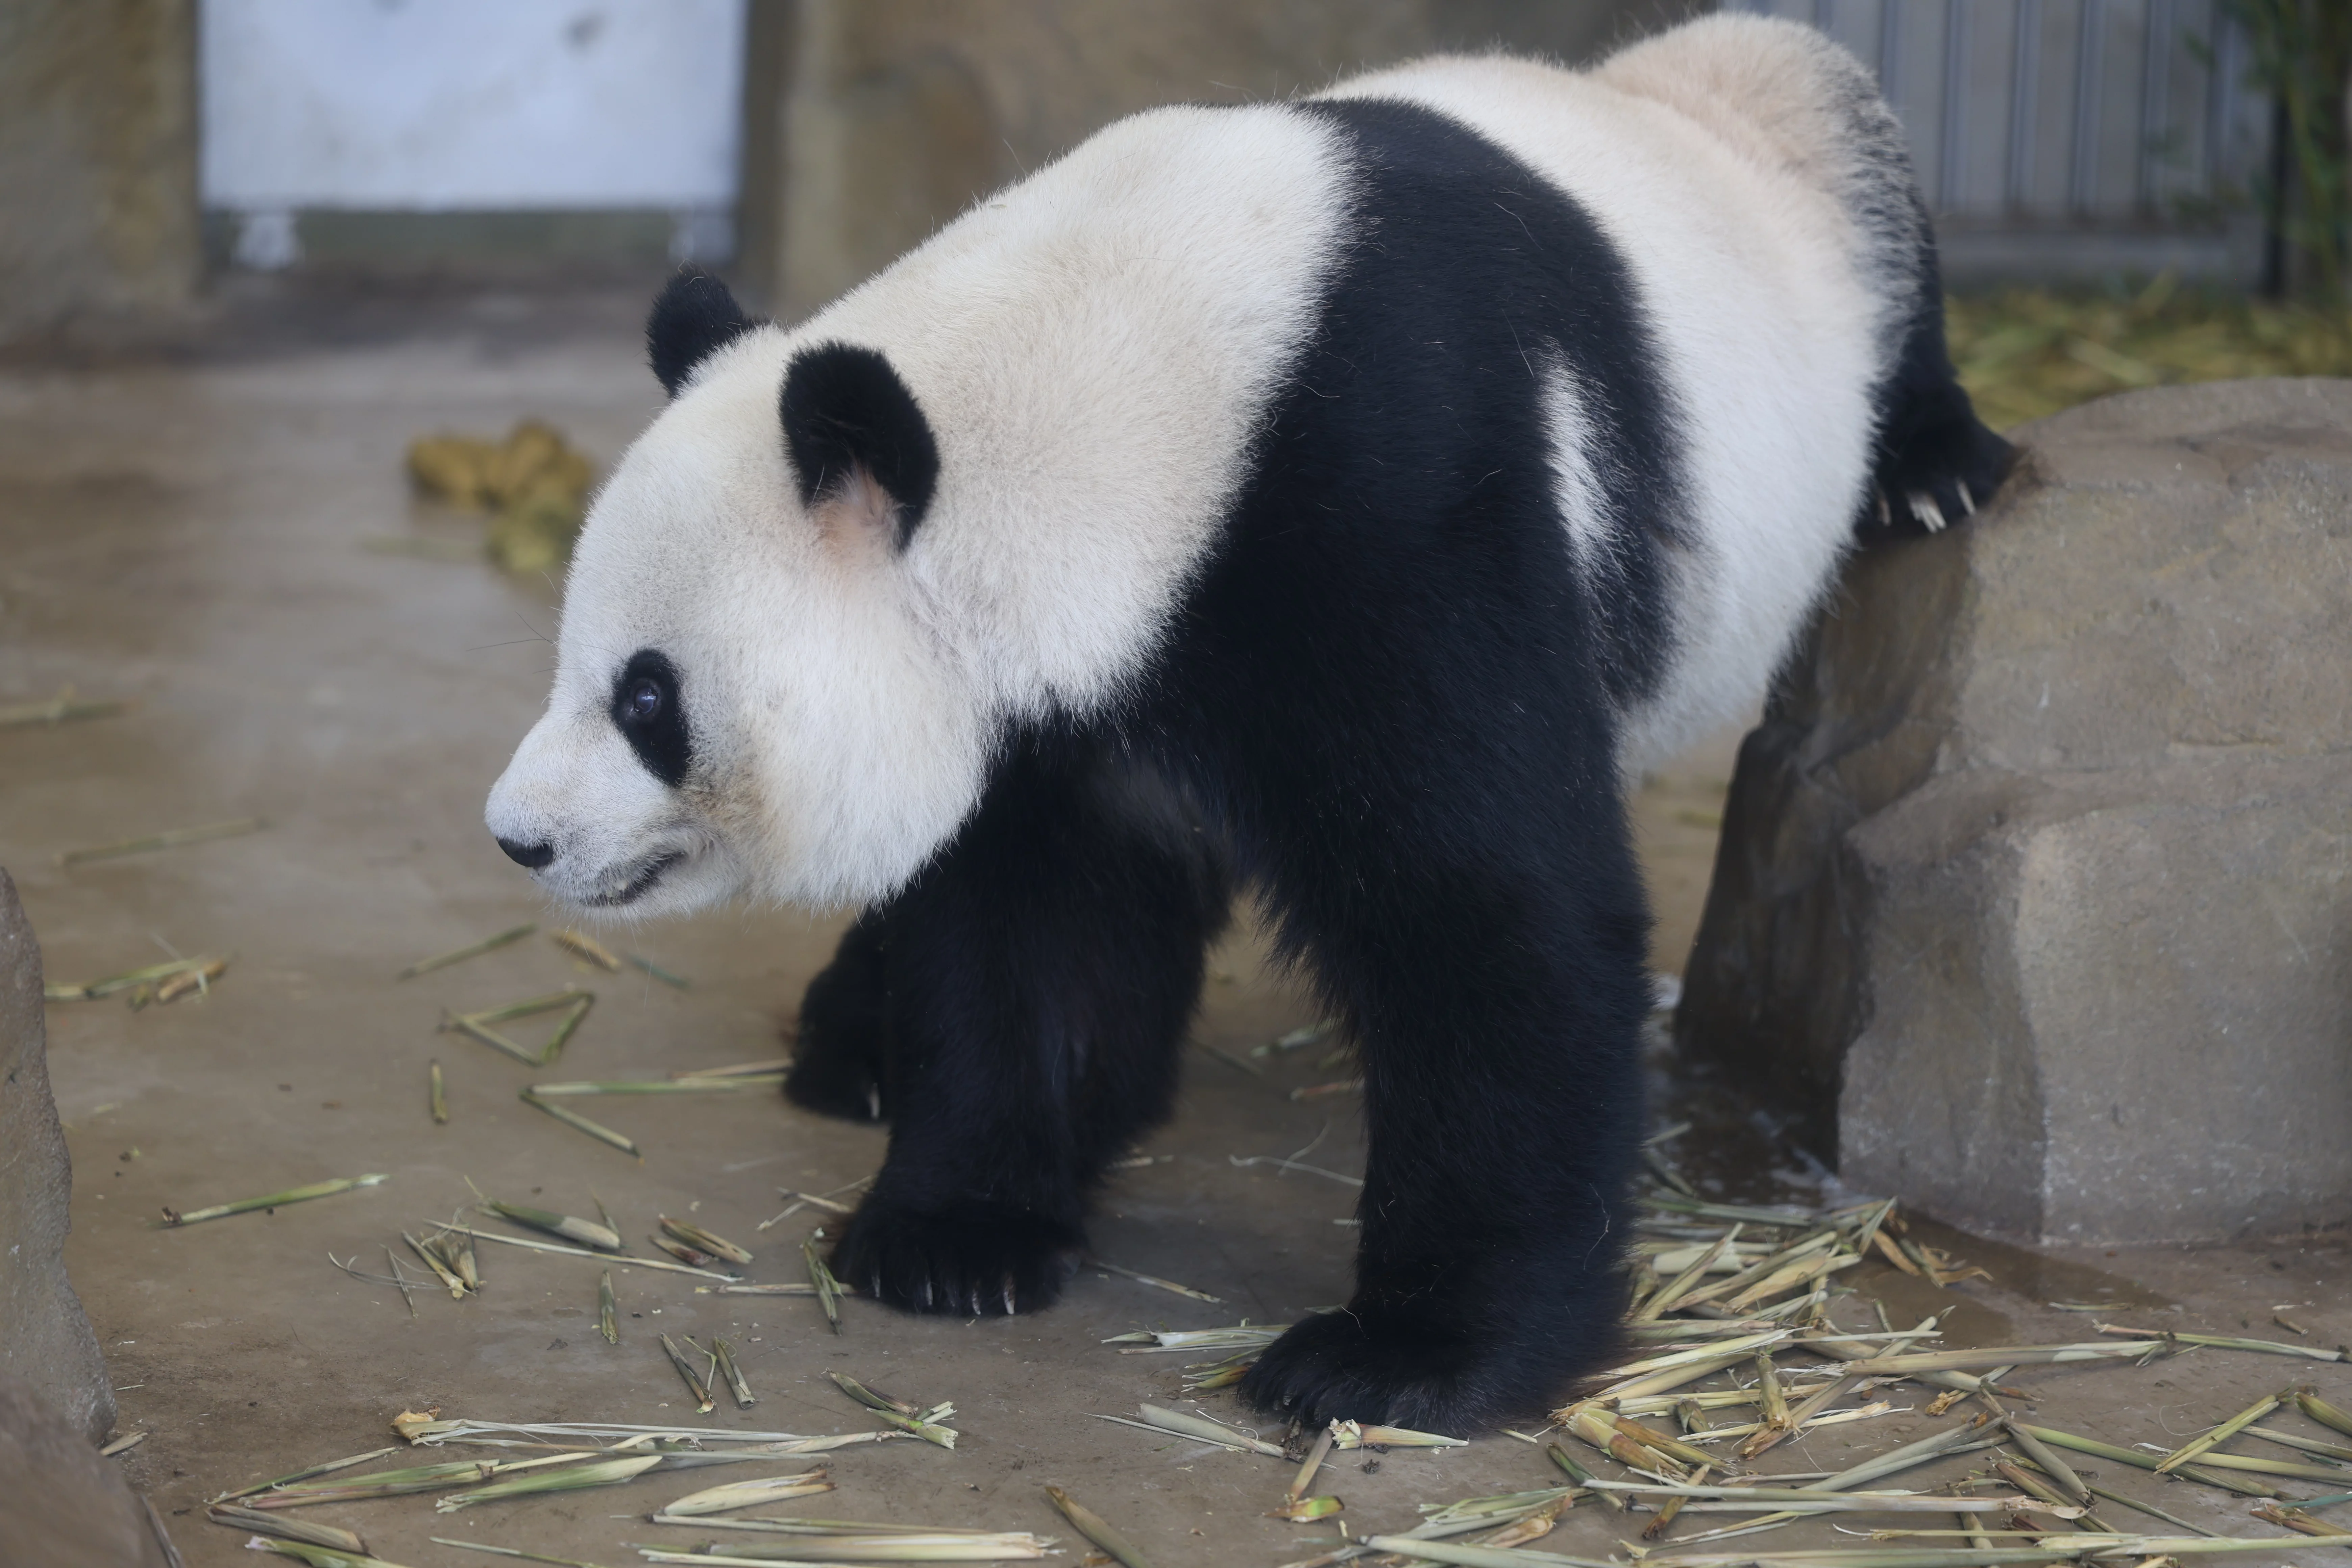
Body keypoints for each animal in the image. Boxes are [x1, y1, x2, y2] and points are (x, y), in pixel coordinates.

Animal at [485, 14, 2010, 1431]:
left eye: (647, 697)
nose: (519, 837)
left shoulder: (1384, 507)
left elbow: (1483, 910)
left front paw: (1405, 1356)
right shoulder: (1065, 706)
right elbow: (1039, 927)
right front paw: (958, 1233)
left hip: (1794, 172)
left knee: (1854, 170)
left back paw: (1934, 464)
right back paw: (855, 1038)